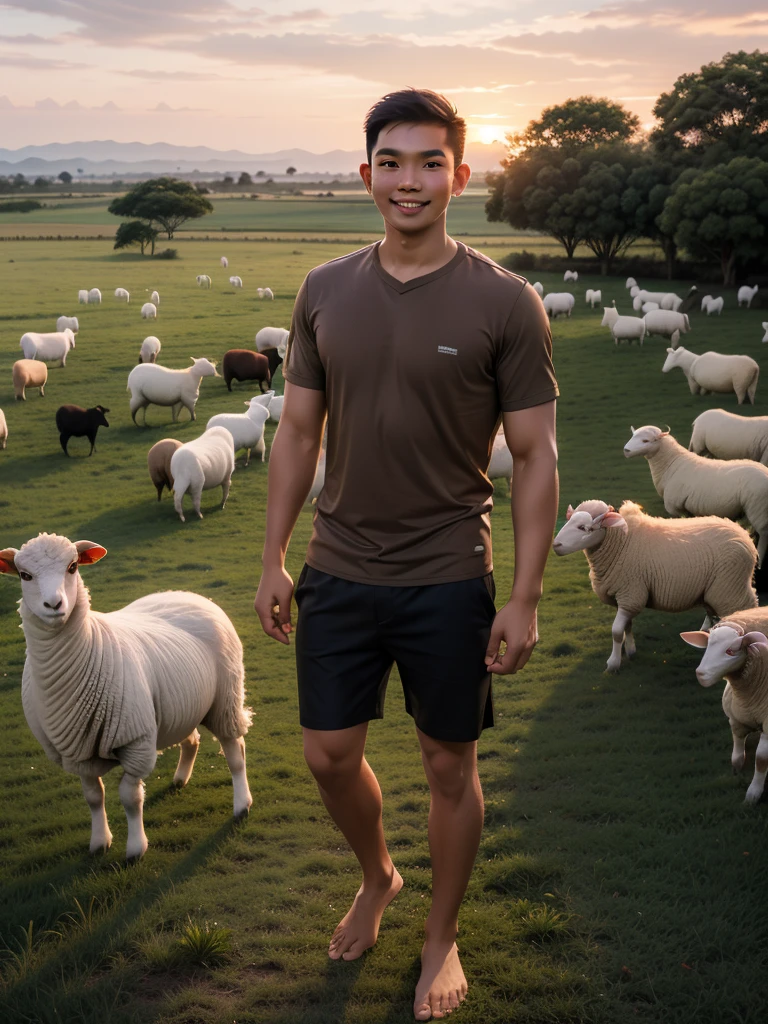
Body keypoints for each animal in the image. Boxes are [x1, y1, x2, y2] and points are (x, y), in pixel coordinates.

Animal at [0, 533, 252, 860]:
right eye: (24, 575)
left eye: (72, 567)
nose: (54, 604)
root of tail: (189, 594)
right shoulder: (77, 753)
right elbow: (94, 796)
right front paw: (99, 842)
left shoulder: (136, 741)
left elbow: (130, 797)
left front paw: (135, 848)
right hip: (178, 703)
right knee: (191, 739)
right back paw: (180, 778)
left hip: (225, 699)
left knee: (235, 751)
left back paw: (241, 804)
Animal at [553, 498, 757, 672]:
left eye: (583, 527)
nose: (556, 545)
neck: (621, 543)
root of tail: (744, 535)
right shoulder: (625, 596)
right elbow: (627, 626)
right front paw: (630, 651)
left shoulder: (631, 593)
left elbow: (617, 631)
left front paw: (613, 663)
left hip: (730, 589)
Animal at [624, 425, 768, 566]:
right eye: (633, 435)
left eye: (646, 441)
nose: (626, 450)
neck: (672, 464)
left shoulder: (675, 507)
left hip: (758, 508)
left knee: (763, 535)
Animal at [680, 622, 768, 804]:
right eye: (707, 646)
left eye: (730, 651)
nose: (700, 674)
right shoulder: (735, 720)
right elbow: (736, 755)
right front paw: (737, 771)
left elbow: (761, 760)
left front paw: (753, 794)